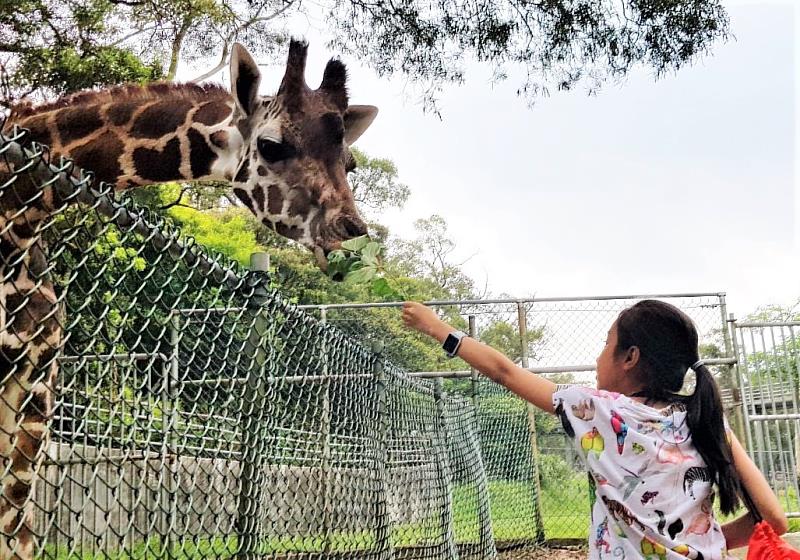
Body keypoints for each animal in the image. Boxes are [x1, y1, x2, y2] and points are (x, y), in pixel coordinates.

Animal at [0, 40, 378, 560]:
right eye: (271, 145)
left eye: (351, 163)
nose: (352, 237)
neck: (19, 218)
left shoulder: (36, 383)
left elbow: (17, 534)